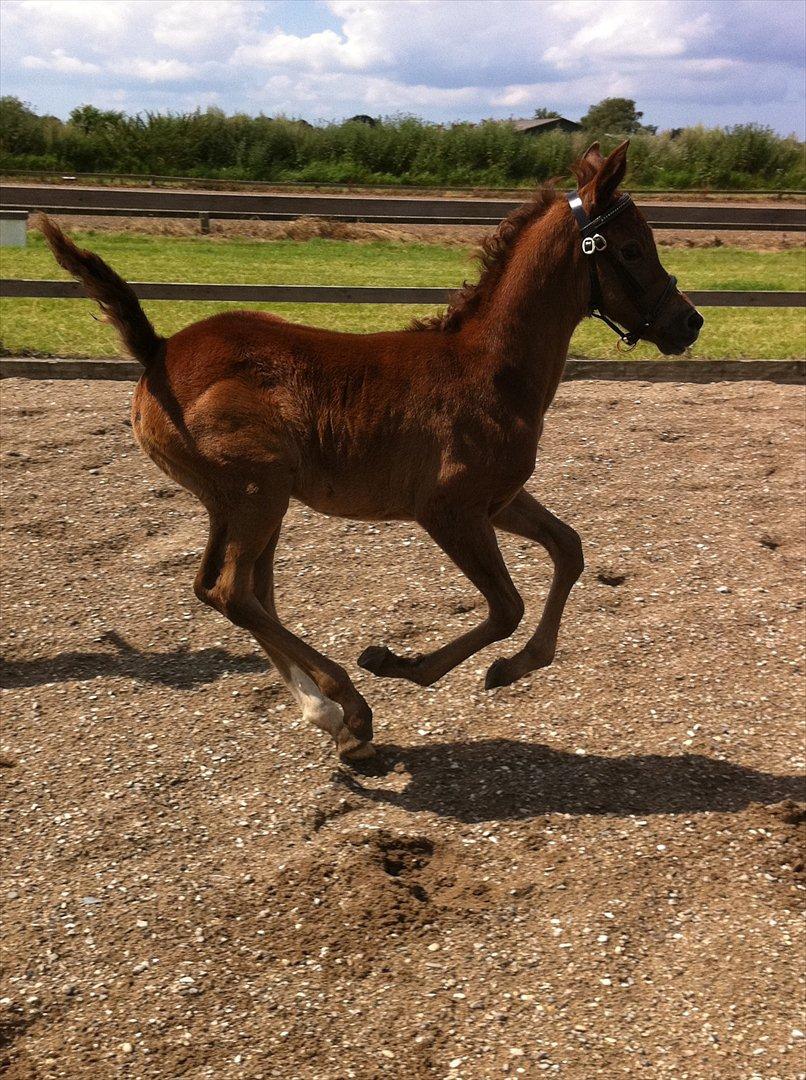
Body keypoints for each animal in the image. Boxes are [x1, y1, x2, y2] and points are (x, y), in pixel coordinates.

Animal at [40, 141, 700, 760]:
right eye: (632, 250)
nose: (688, 323)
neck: (490, 368)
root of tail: (158, 352)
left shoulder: (499, 500)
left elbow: (569, 547)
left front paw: (518, 664)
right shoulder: (449, 510)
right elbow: (506, 605)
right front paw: (402, 664)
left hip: (242, 500)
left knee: (237, 590)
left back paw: (332, 719)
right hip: (258, 492)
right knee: (231, 591)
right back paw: (350, 706)